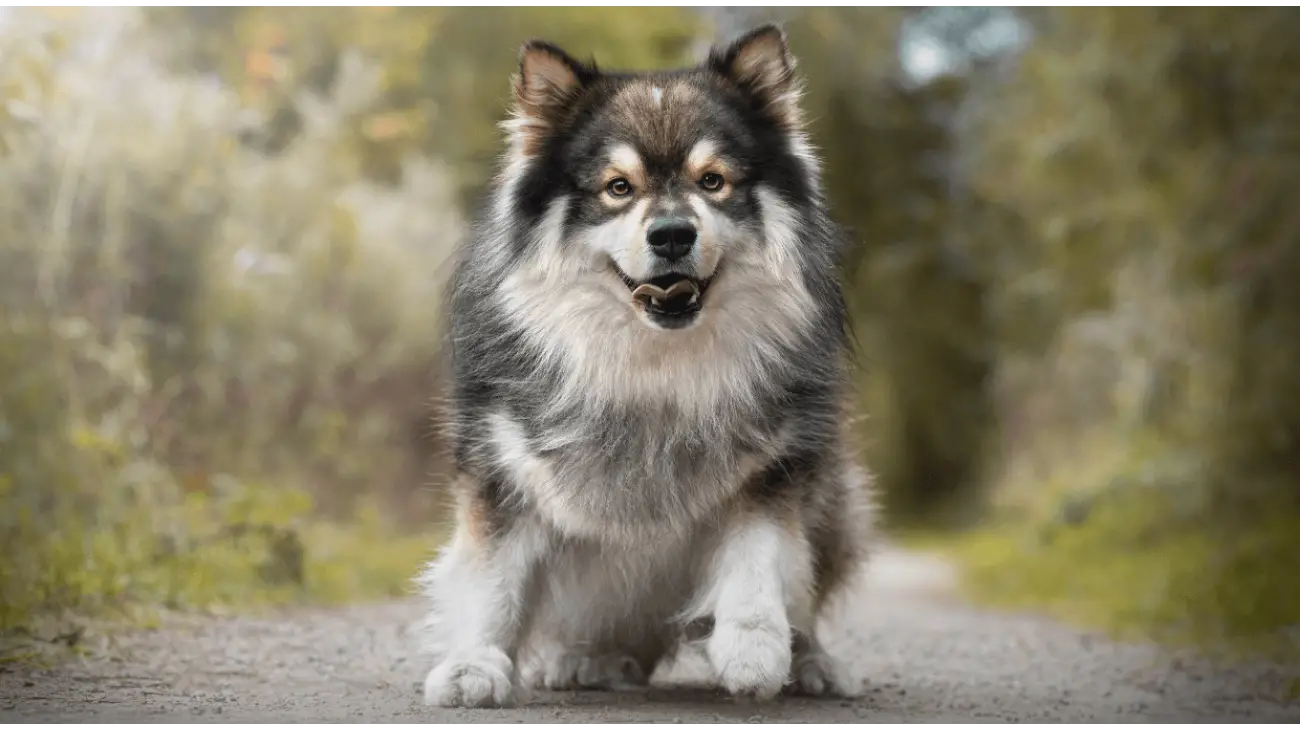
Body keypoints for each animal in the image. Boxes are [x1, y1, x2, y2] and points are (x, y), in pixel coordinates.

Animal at [416, 22, 878, 706]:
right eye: (618, 187)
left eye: (712, 181)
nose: (672, 234)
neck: (653, 363)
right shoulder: (502, 467)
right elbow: (491, 579)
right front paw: (473, 663)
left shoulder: (774, 467)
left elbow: (758, 557)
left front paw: (754, 646)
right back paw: (587, 657)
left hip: (837, 499)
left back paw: (812, 663)